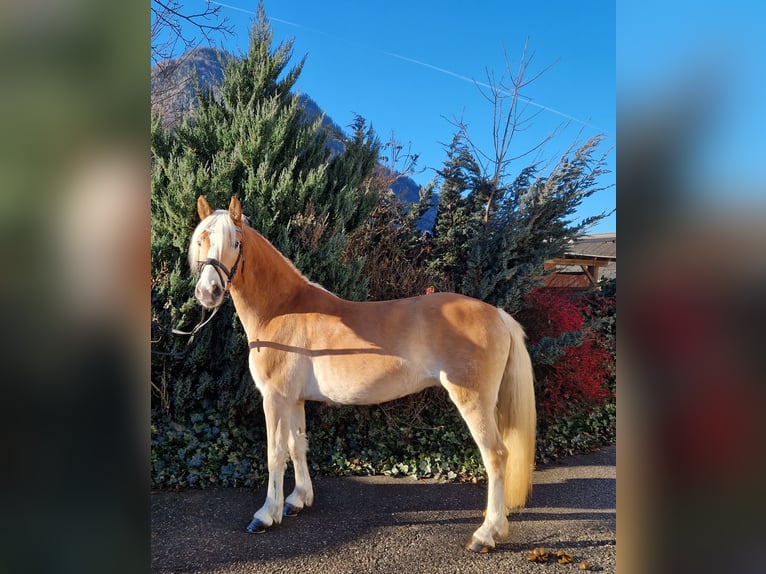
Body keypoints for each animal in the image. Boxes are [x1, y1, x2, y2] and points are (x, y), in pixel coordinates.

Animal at [189, 197, 536, 552]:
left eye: (235, 242)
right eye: (202, 240)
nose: (208, 292)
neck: (282, 310)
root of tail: (497, 313)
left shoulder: (274, 398)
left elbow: (275, 453)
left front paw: (266, 514)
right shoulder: (294, 399)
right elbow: (298, 446)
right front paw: (298, 500)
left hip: (473, 400)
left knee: (496, 456)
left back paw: (486, 533)